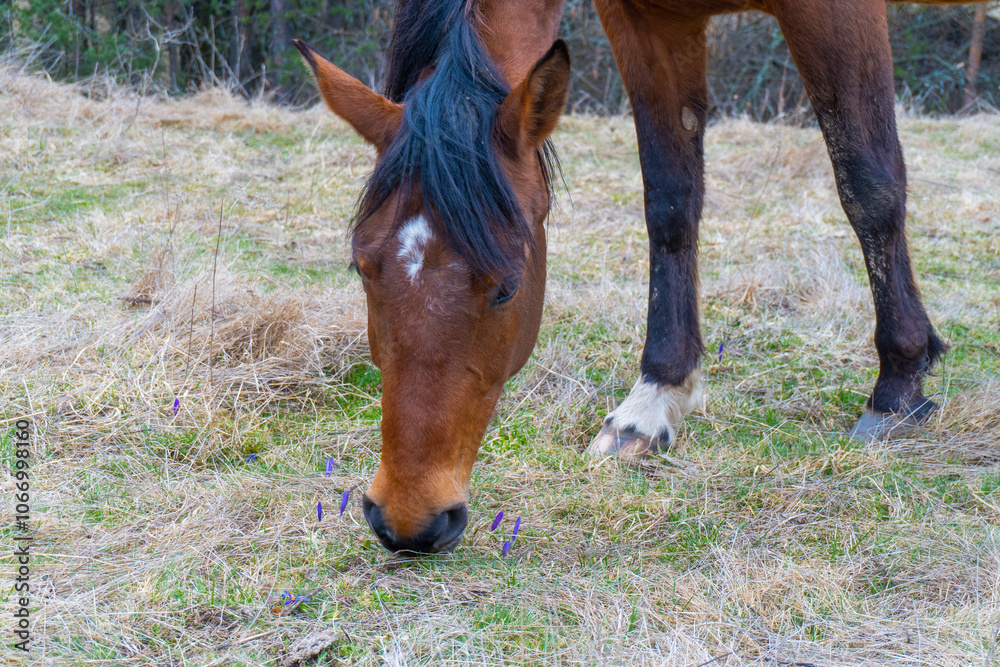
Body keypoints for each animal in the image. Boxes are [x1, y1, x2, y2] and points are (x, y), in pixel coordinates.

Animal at [296, 0, 987, 553]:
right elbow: (671, 201)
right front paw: (655, 397)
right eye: (361, 266)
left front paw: (899, 383)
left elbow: (868, 183)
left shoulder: (837, 13)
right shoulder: (646, 21)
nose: (408, 520)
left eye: (508, 286)